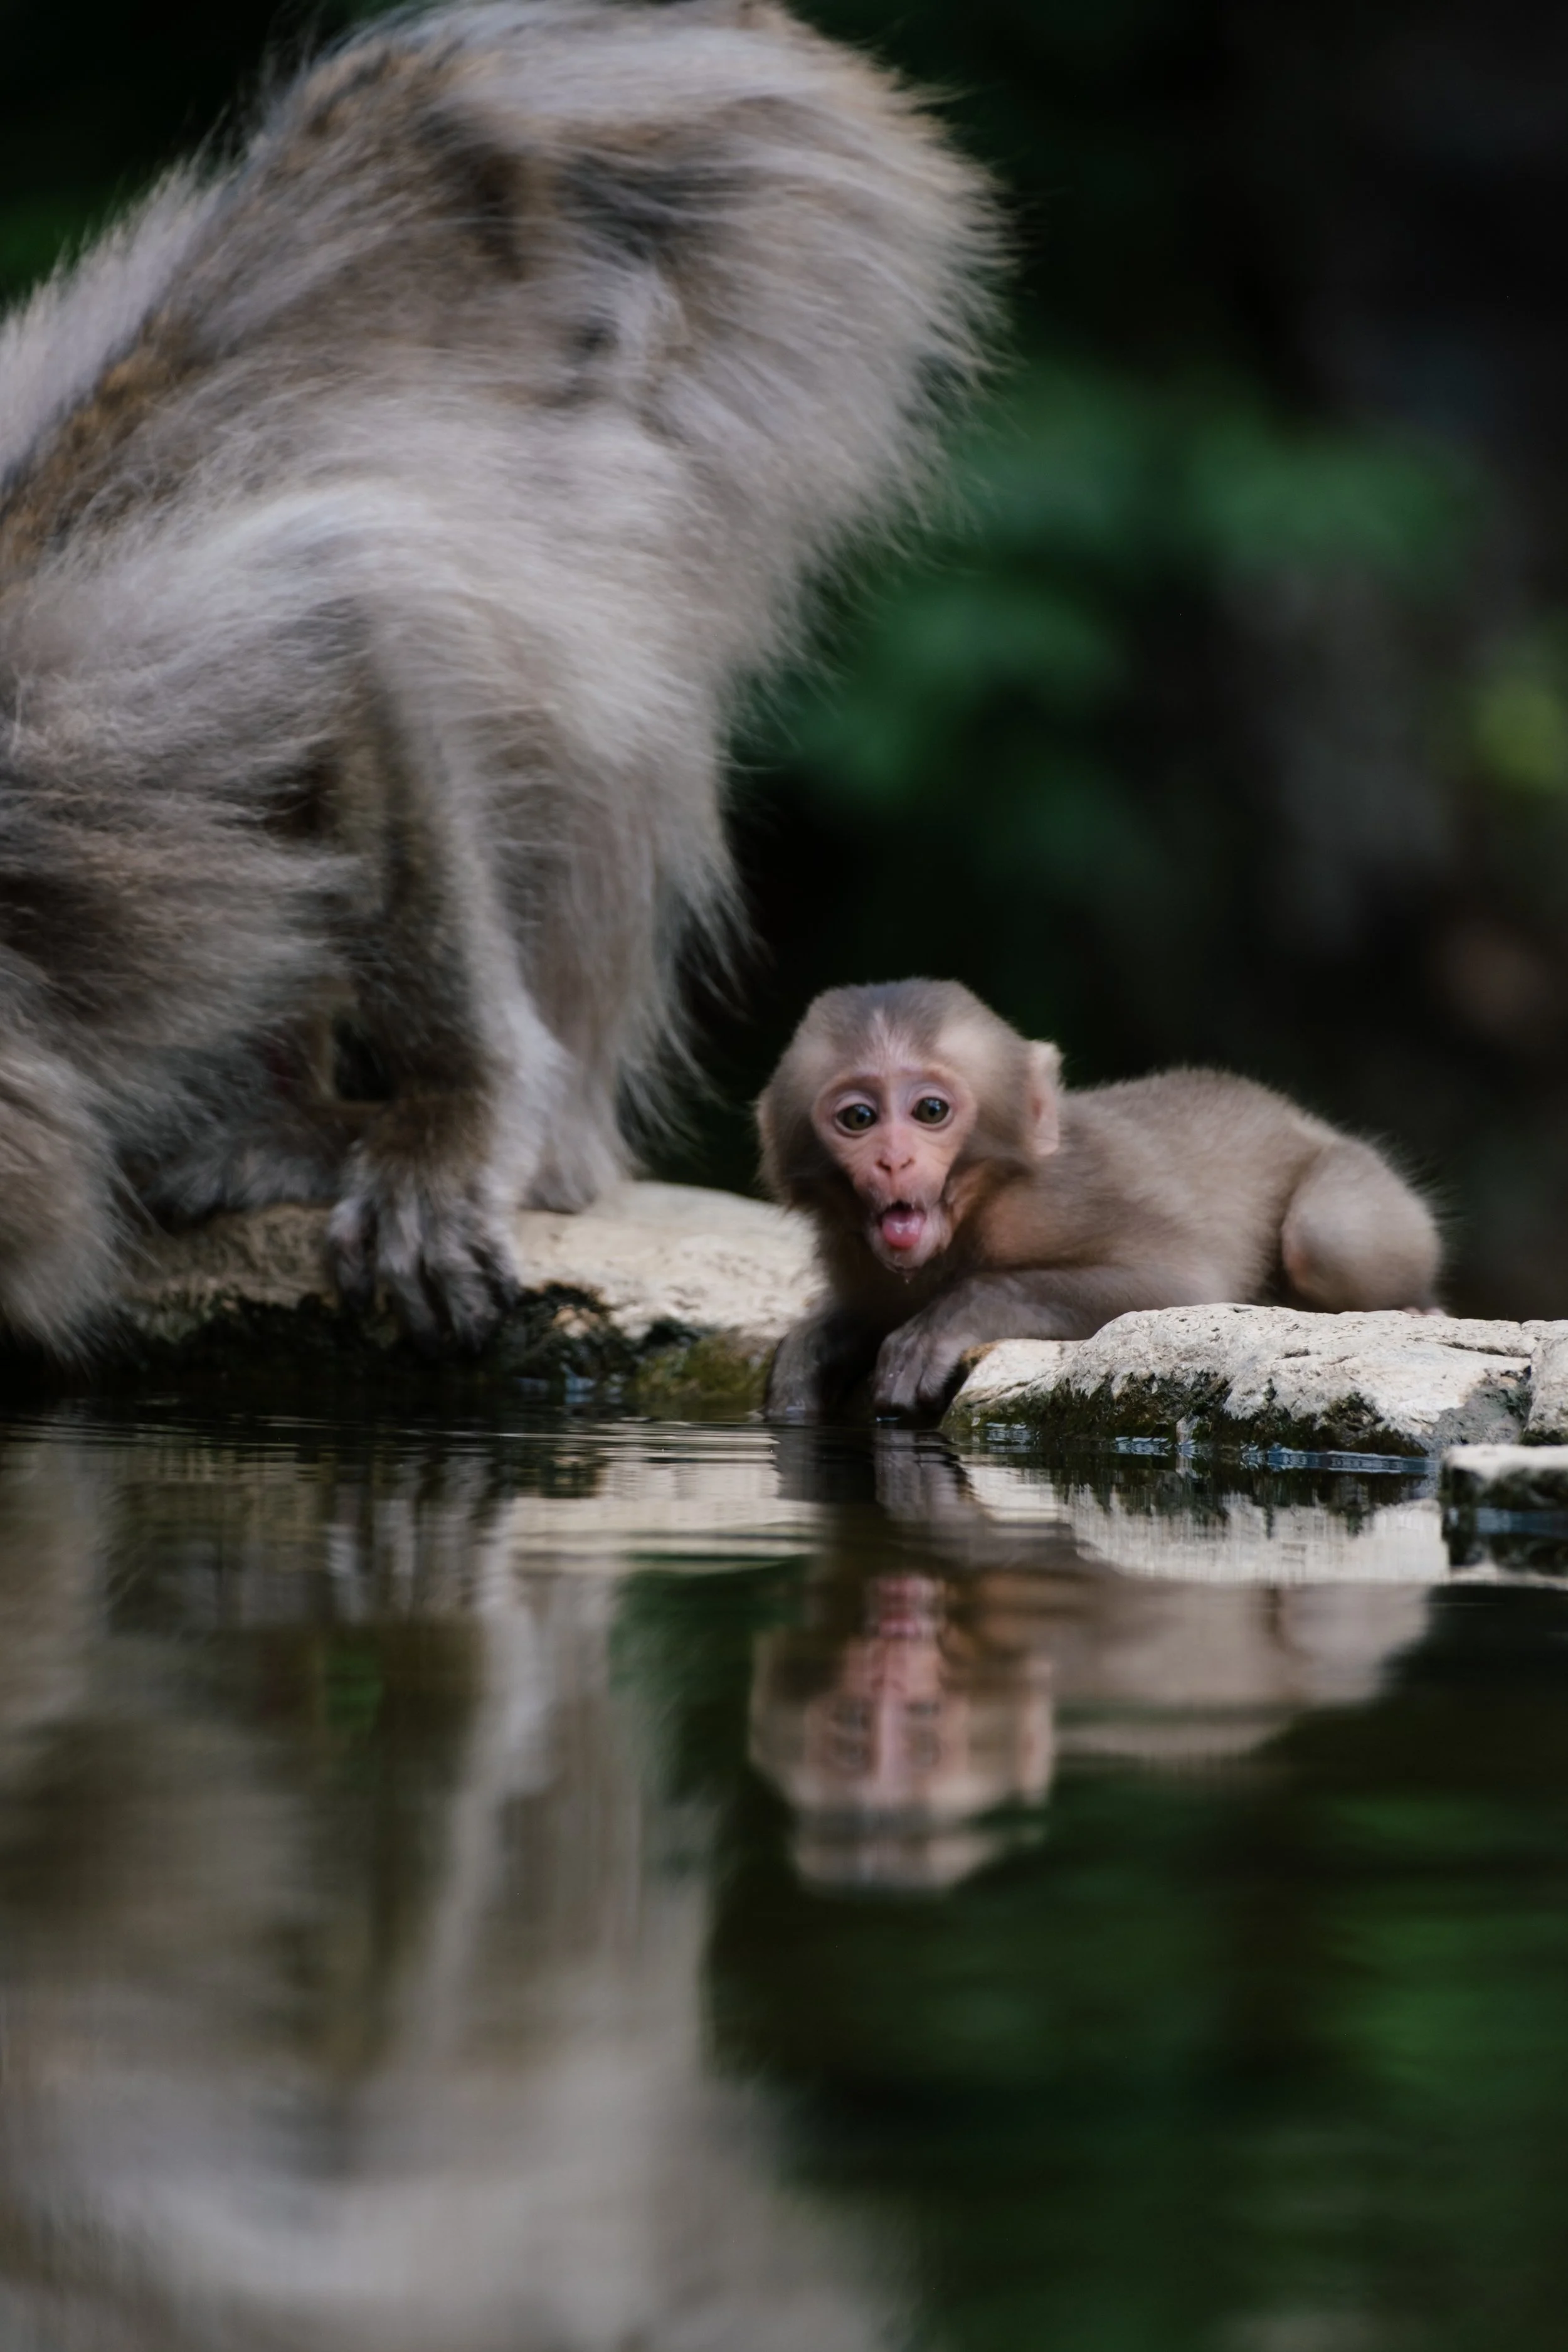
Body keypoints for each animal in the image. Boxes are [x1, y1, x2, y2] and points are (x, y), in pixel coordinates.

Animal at [757, 980, 1442, 1422]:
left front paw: (943, 1322)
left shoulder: (1059, 1201)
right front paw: (810, 1354)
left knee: (1326, 1236)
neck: (976, 1207)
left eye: (930, 1111)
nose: (893, 1160)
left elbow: (1182, 1283)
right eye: (859, 1118)